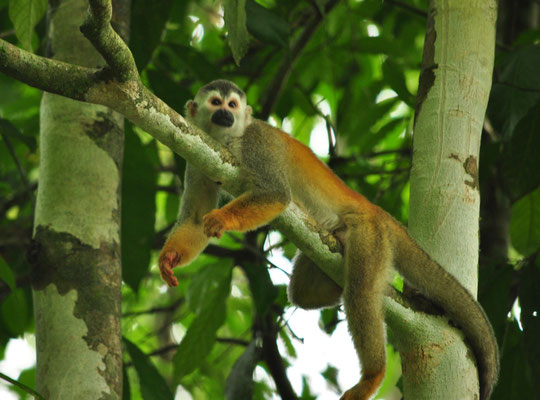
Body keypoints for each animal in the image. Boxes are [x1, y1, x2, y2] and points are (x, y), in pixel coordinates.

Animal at [158, 79, 500, 398]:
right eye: (215, 103)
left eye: (232, 104)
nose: (226, 114)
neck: (228, 139)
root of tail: (381, 214)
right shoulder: (198, 153)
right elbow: (194, 219)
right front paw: (169, 258)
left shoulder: (258, 142)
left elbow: (275, 194)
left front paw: (221, 219)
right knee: (303, 293)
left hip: (370, 235)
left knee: (359, 292)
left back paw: (372, 375)